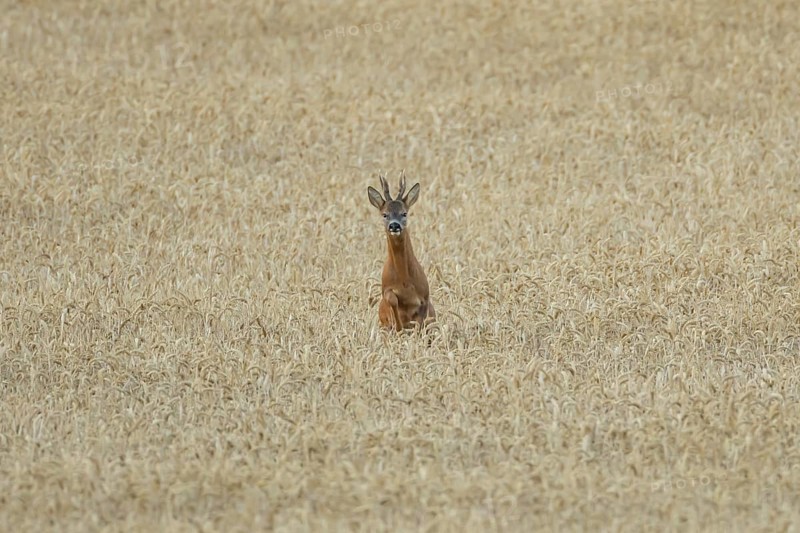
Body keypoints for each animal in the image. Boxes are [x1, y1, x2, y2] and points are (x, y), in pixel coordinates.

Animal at [367, 172, 435, 332]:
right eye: (384, 214)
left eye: (404, 213)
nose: (394, 225)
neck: (405, 281)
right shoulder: (385, 289)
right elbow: (392, 299)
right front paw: (399, 326)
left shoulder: (425, 296)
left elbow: (420, 322)